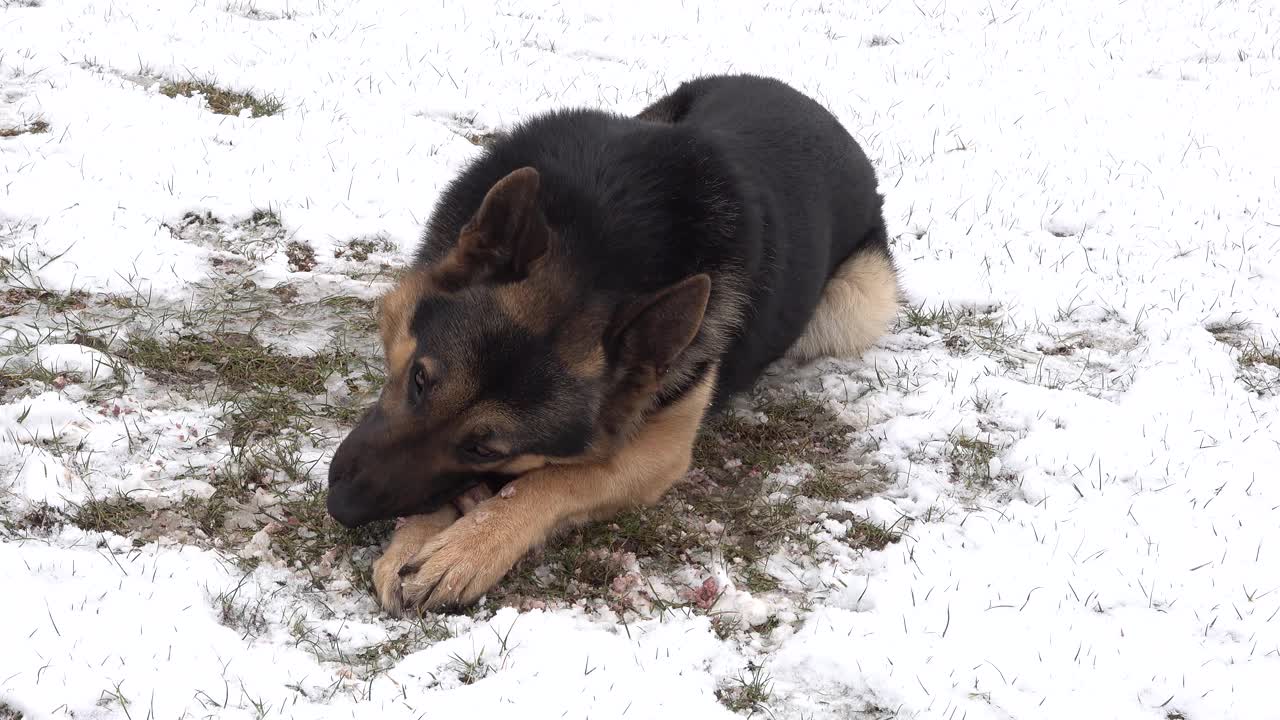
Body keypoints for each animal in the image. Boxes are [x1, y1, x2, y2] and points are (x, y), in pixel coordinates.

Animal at [322, 73, 901, 609]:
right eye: (419, 380)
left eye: (484, 448)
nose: (341, 505)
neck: (603, 243)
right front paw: (416, 537)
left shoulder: (658, 454)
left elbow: (549, 481)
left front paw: (467, 546)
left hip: (855, 303)